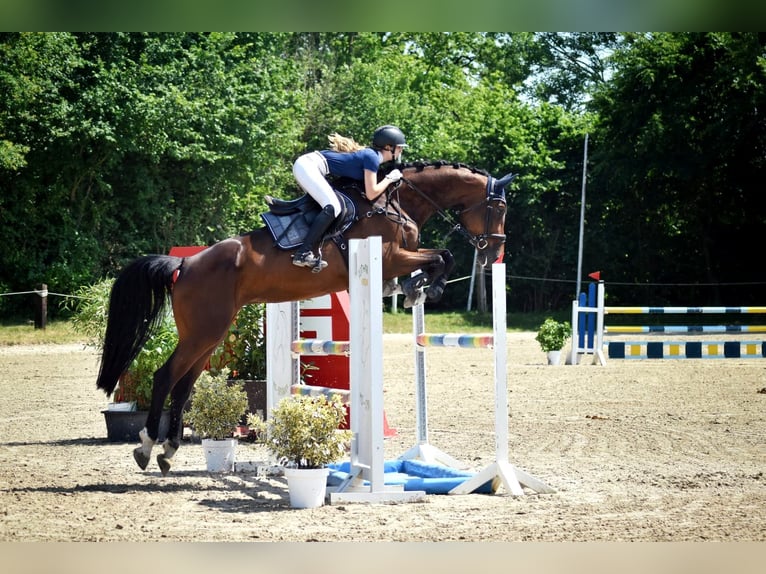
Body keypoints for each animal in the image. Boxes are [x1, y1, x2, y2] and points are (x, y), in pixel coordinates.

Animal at [96, 160, 513, 475]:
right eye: (500, 209)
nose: (492, 254)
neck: (397, 202)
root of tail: (185, 263)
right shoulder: (391, 256)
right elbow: (444, 256)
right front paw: (426, 287)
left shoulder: (400, 258)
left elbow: (441, 257)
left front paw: (417, 288)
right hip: (203, 332)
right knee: (165, 376)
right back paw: (147, 447)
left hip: (210, 335)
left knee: (184, 385)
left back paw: (168, 450)